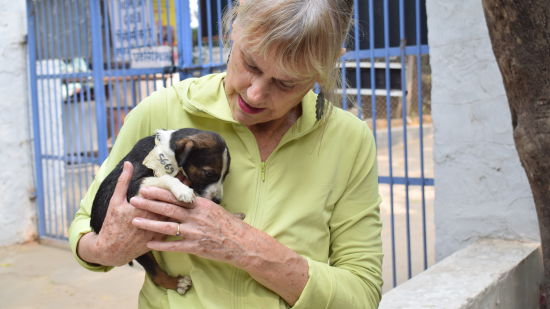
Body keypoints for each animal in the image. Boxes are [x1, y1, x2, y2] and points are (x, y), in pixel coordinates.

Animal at [90, 127, 231, 294]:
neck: (166, 150)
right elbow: (165, 178)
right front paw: (183, 190)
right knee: (156, 275)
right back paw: (176, 283)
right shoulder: (134, 184)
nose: (218, 201)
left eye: (225, 176)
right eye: (208, 173)